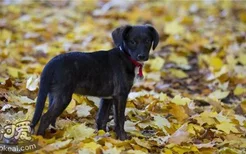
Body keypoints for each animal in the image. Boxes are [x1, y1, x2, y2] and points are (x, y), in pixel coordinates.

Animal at [30, 24, 160, 141]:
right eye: (132, 42)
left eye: (148, 41)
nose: (142, 56)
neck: (125, 57)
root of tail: (50, 64)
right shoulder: (120, 95)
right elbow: (120, 120)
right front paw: (123, 139)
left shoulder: (108, 98)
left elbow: (101, 118)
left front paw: (102, 137)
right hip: (63, 96)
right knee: (45, 117)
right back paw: (40, 139)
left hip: (54, 94)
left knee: (51, 118)